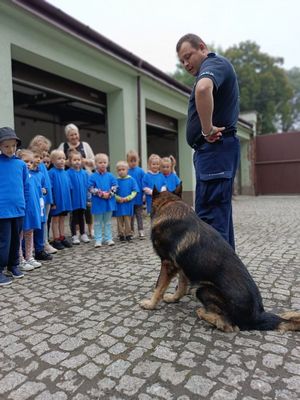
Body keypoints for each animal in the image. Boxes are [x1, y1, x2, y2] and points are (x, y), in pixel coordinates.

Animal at [141, 185, 300, 332]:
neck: (170, 204)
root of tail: (257, 315)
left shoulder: (167, 264)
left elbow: (159, 286)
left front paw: (151, 304)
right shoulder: (182, 266)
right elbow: (181, 285)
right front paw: (174, 298)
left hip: (202, 288)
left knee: (228, 325)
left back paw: (203, 312)